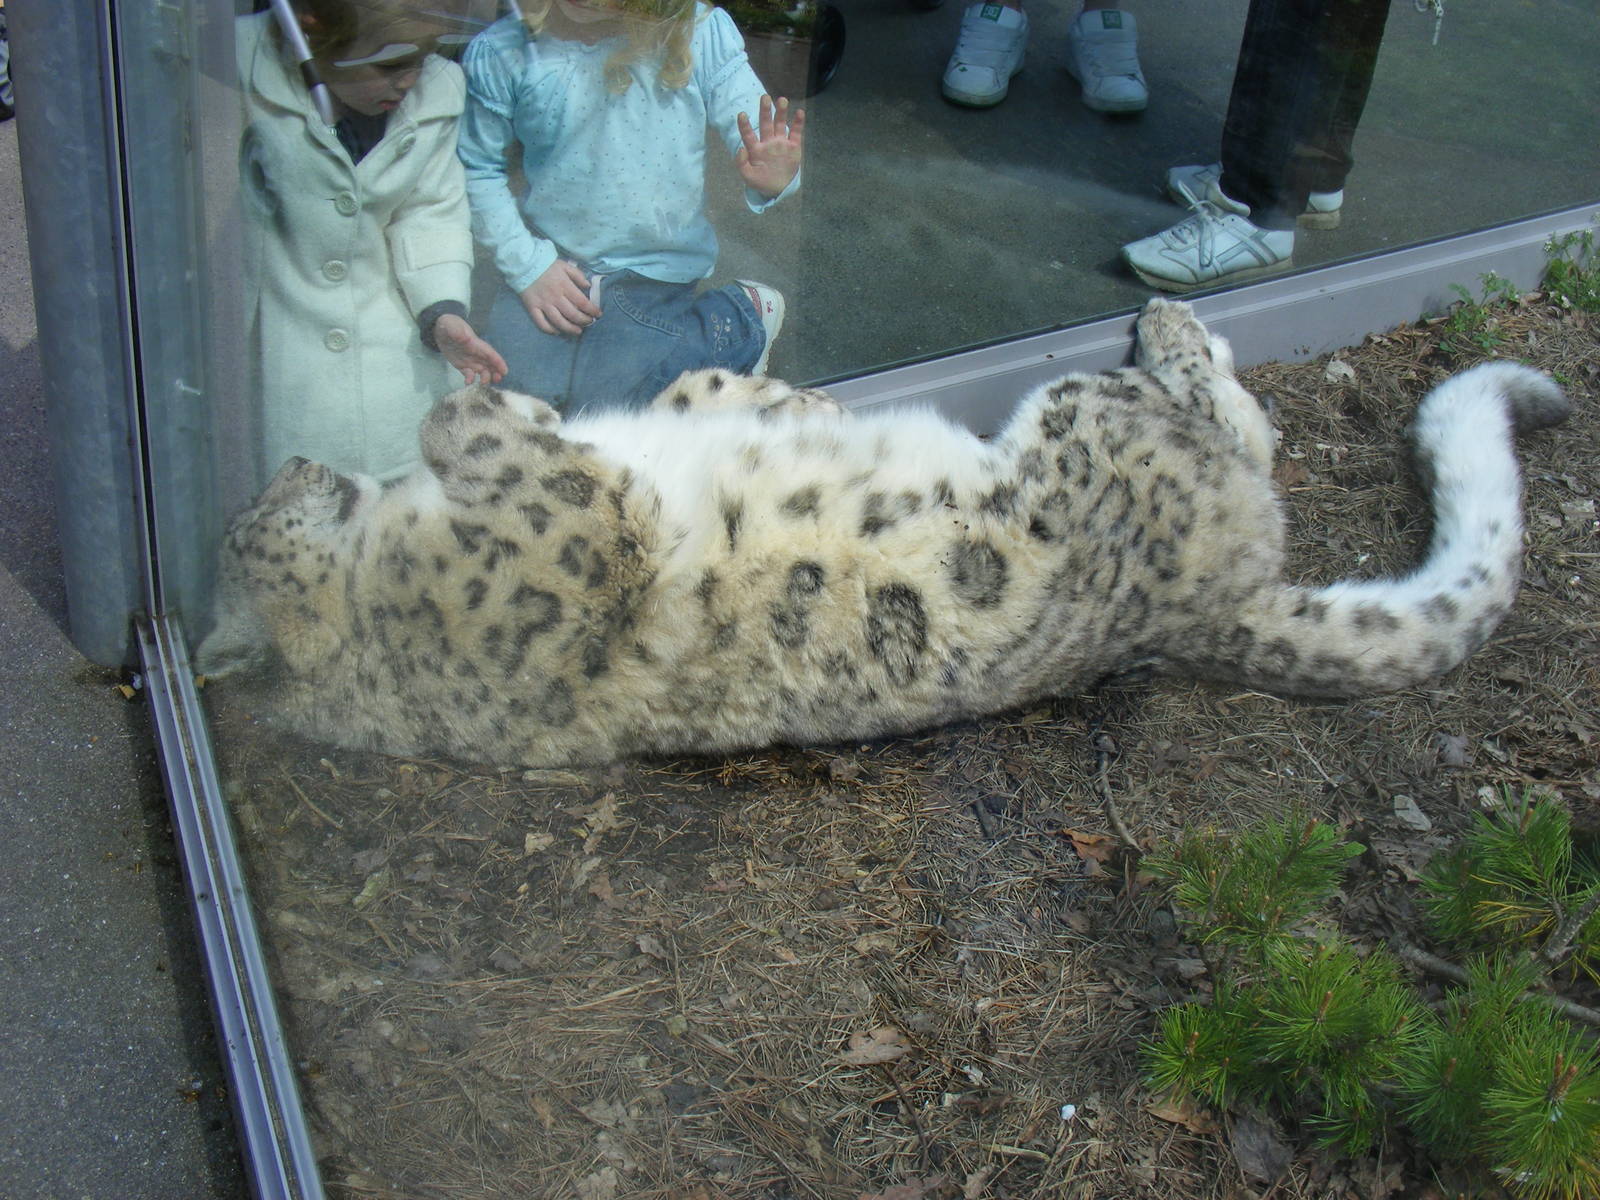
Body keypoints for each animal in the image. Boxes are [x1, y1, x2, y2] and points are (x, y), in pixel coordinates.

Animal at [195, 299, 1572, 768]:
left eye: (256, 502)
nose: (299, 460)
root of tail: (1201, 610)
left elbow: (674, 400)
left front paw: (768, 401)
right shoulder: (569, 535)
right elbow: (497, 442)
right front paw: (480, 394)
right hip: (1094, 427)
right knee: (1243, 427)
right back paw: (1175, 324)